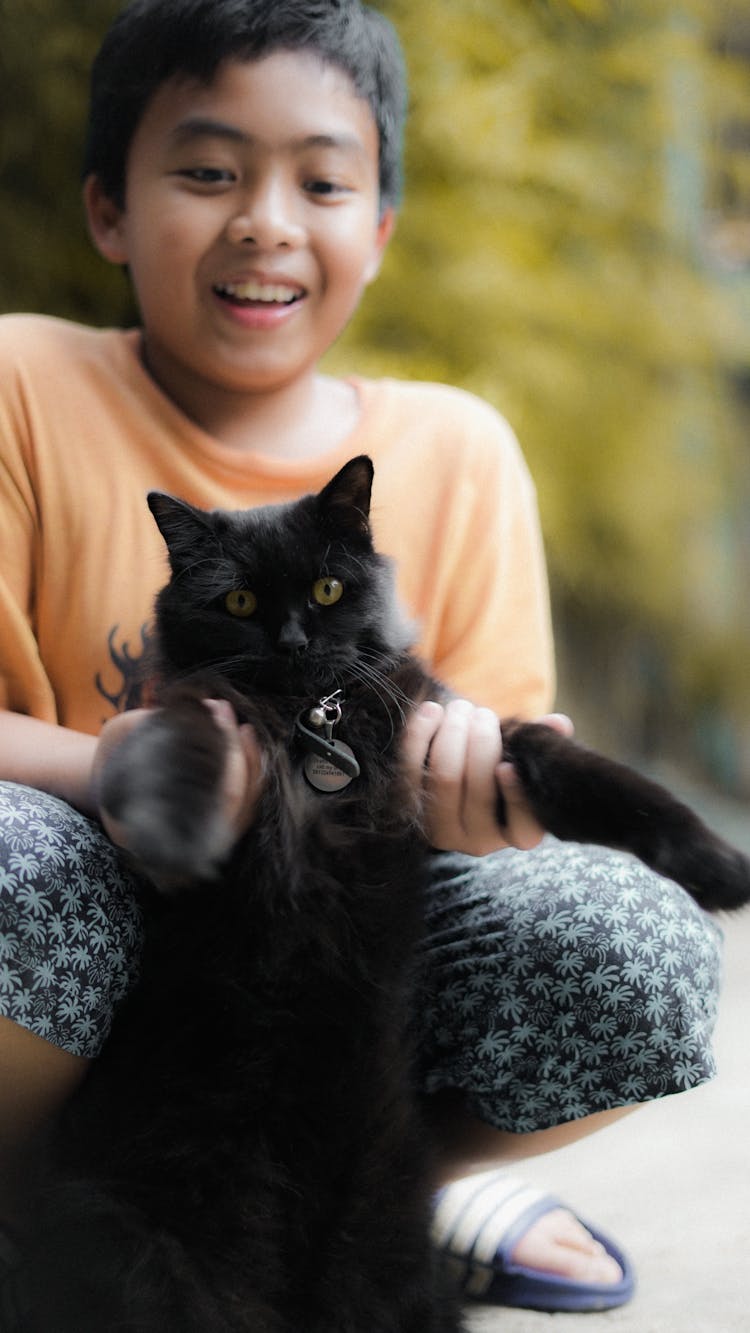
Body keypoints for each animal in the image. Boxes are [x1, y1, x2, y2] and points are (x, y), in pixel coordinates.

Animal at [8, 455, 746, 1322]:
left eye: (328, 589)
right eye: (240, 602)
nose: (294, 640)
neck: (315, 717)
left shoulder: (455, 724)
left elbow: (579, 765)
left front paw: (718, 863)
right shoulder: (204, 710)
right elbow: (178, 752)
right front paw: (175, 838)